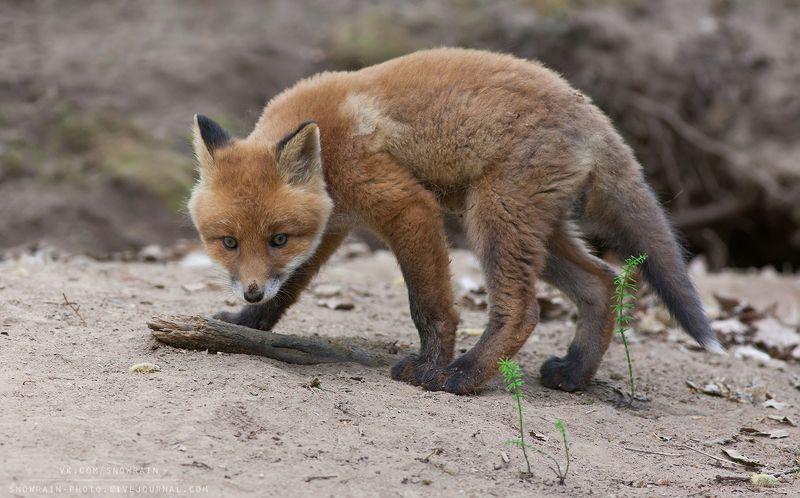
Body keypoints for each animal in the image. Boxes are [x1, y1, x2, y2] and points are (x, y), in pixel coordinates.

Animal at [188, 47, 722, 395]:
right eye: (228, 243)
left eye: (277, 238)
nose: (250, 290)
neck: (330, 154)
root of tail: (593, 114)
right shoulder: (331, 226)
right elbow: (287, 293)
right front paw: (247, 324)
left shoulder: (407, 206)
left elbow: (428, 305)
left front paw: (430, 364)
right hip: (532, 229)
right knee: (602, 282)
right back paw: (574, 373)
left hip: (492, 218)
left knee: (524, 311)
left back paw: (464, 375)